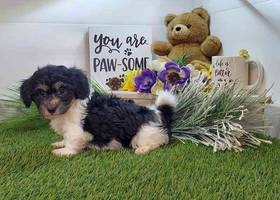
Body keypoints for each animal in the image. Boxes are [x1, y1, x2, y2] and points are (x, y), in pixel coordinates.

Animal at [20, 65, 177, 155]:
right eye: (40, 93)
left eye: (62, 90)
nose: (51, 109)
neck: (71, 106)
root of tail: (160, 114)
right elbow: (66, 137)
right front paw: (61, 143)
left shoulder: (76, 129)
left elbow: (72, 139)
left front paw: (65, 151)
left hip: (144, 134)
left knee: (158, 143)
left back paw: (143, 149)